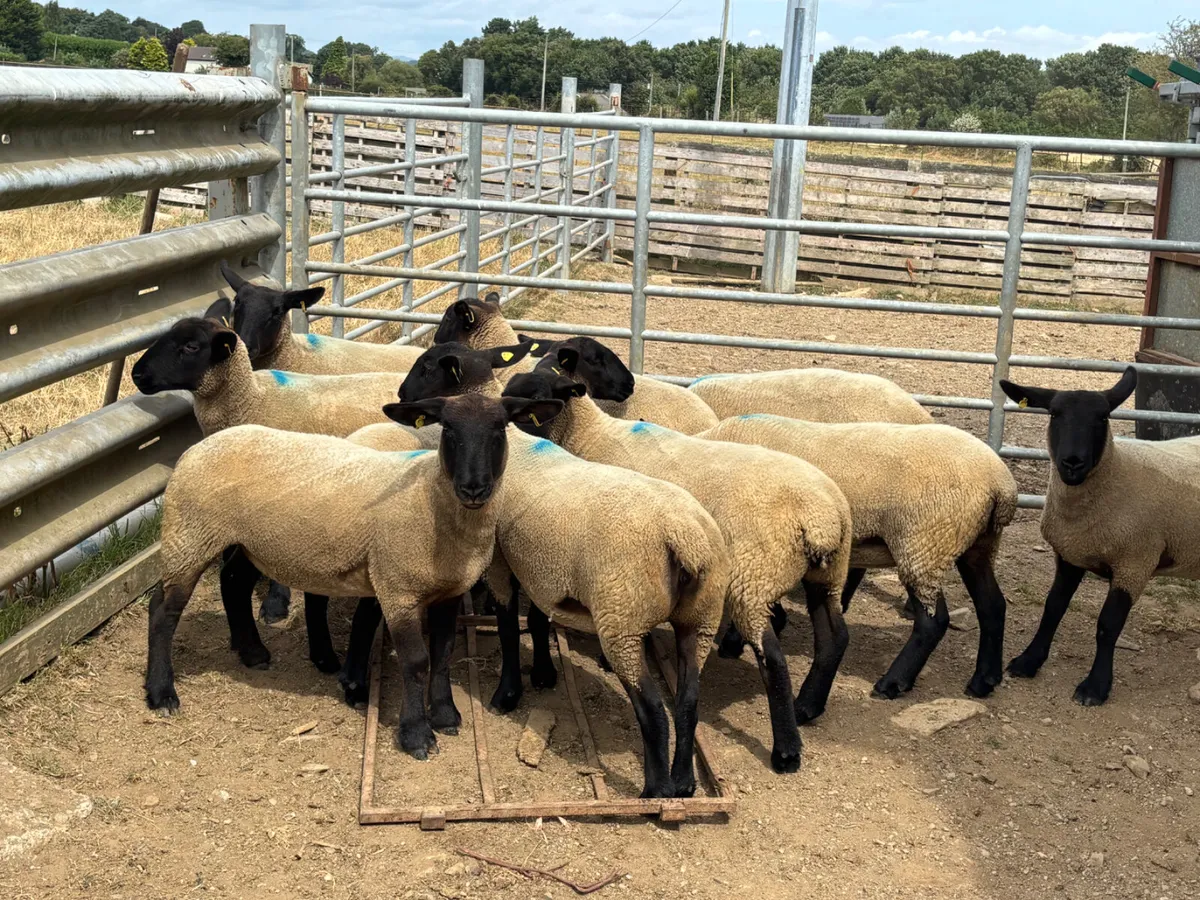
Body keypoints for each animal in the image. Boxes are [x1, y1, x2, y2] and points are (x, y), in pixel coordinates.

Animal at [145, 393, 563, 761]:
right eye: (447, 429)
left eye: (500, 429)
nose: (473, 488)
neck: (431, 498)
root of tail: (200, 446)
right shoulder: (397, 588)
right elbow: (416, 661)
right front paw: (417, 736)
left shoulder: (448, 591)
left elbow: (443, 653)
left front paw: (445, 715)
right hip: (189, 533)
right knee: (163, 610)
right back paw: (162, 693)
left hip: (247, 541)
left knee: (233, 582)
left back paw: (253, 653)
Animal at [499, 364, 854, 774]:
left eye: (535, 400)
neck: (591, 436)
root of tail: (821, 516)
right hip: (826, 575)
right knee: (834, 637)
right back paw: (808, 705)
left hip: (754, 578)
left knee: (775, 662)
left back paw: (786, 749)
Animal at [696, 413, 1017, 701]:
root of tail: (1000, 484)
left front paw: (734, 642)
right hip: (977, 545)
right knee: (992, 605)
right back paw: (984, 680)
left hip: (923, 545)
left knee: (934, 622)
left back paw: (893, 683)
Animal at [1000, 367, 1200, 706]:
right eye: (1054, 413)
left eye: (1103, 417)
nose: (1072, 462)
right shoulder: (1070, 553)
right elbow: (1053, 607)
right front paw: (1029, 661)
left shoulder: (1135, 562)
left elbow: (1108, 625)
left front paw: (1095, 687)